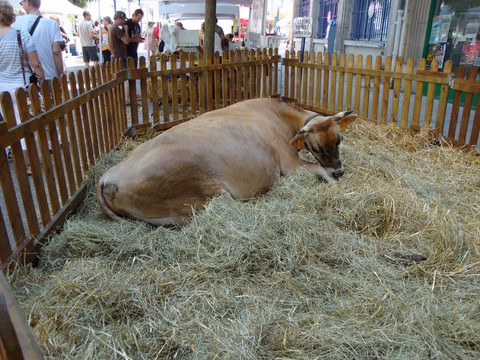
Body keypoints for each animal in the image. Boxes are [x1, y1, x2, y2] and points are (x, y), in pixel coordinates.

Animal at [96, 97, 356, 224]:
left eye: (340, 139)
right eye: (316, 147)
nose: (340, 171)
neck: (279, 116)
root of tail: (106, 177)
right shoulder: (289, 164)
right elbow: (320, 171)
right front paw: (340, 188)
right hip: (209, 192)